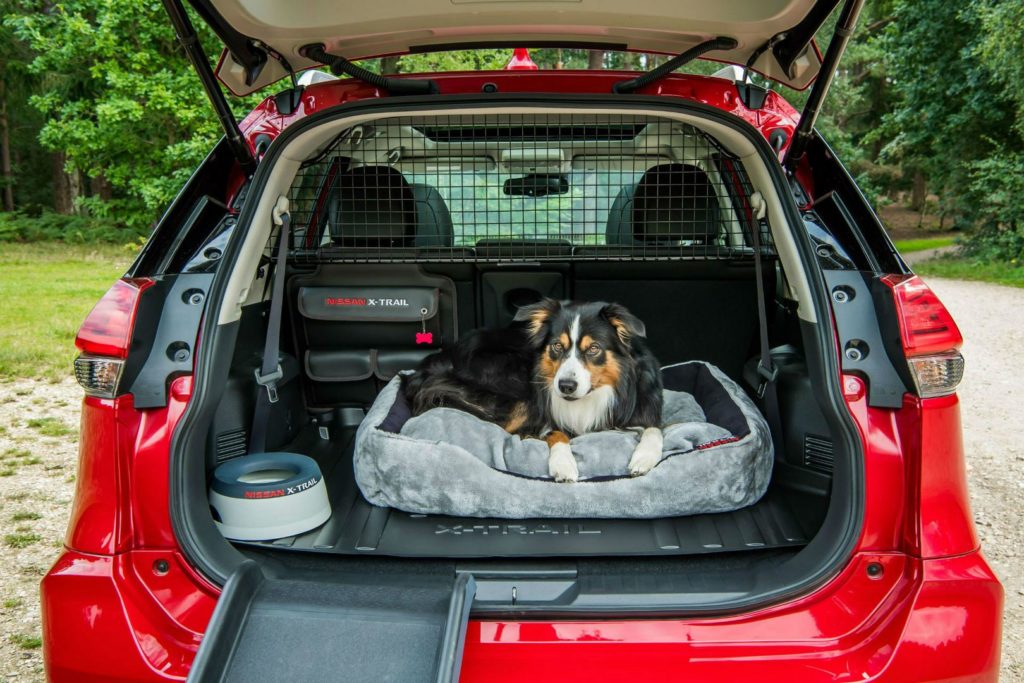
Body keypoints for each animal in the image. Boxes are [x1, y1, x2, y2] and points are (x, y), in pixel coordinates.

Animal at [399, 296, 663, 481]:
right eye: (557, 346)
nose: (565, 386)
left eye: (594, 348)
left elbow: (655, 429)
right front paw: (563, 464)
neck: (594, 396)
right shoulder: (544, 414)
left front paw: (644, 458)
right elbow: (555, 433)